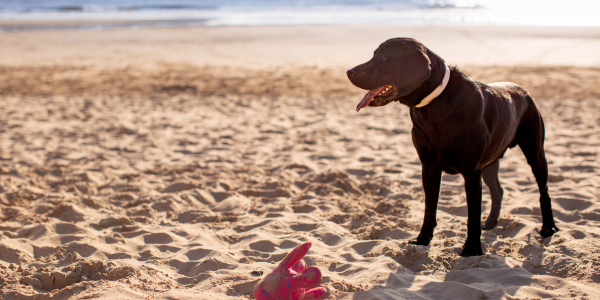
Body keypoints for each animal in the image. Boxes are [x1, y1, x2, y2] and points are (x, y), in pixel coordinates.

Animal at [346, 38, 556, 256]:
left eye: (383, 59)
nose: (349, 72)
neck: (434, 105)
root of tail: (524, 91)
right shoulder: (429, 167)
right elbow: (429, 208)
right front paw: (423, 239)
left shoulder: (471, 171)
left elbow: (473, 214)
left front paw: (472, 249)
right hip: (490, 162)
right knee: (498, 191)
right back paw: (490, 223)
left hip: (535, 153)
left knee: (544, 191)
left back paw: (548, 228)